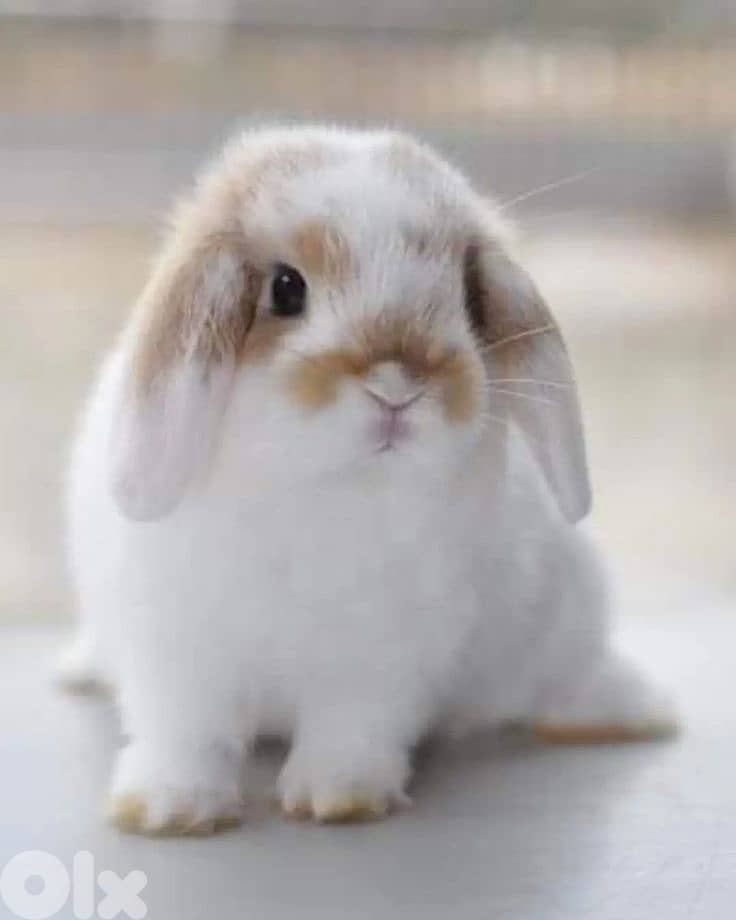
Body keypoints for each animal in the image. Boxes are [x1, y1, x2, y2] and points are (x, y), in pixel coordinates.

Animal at [59, 125, 676, 835]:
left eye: (468, 298)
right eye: (286, 288)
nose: (397, 385)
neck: (330, 490)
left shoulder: (383, 660)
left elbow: (351, 728)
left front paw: (339, 798)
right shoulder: (174, 652)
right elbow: (185, 733)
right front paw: (169, 809)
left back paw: (629, 712)